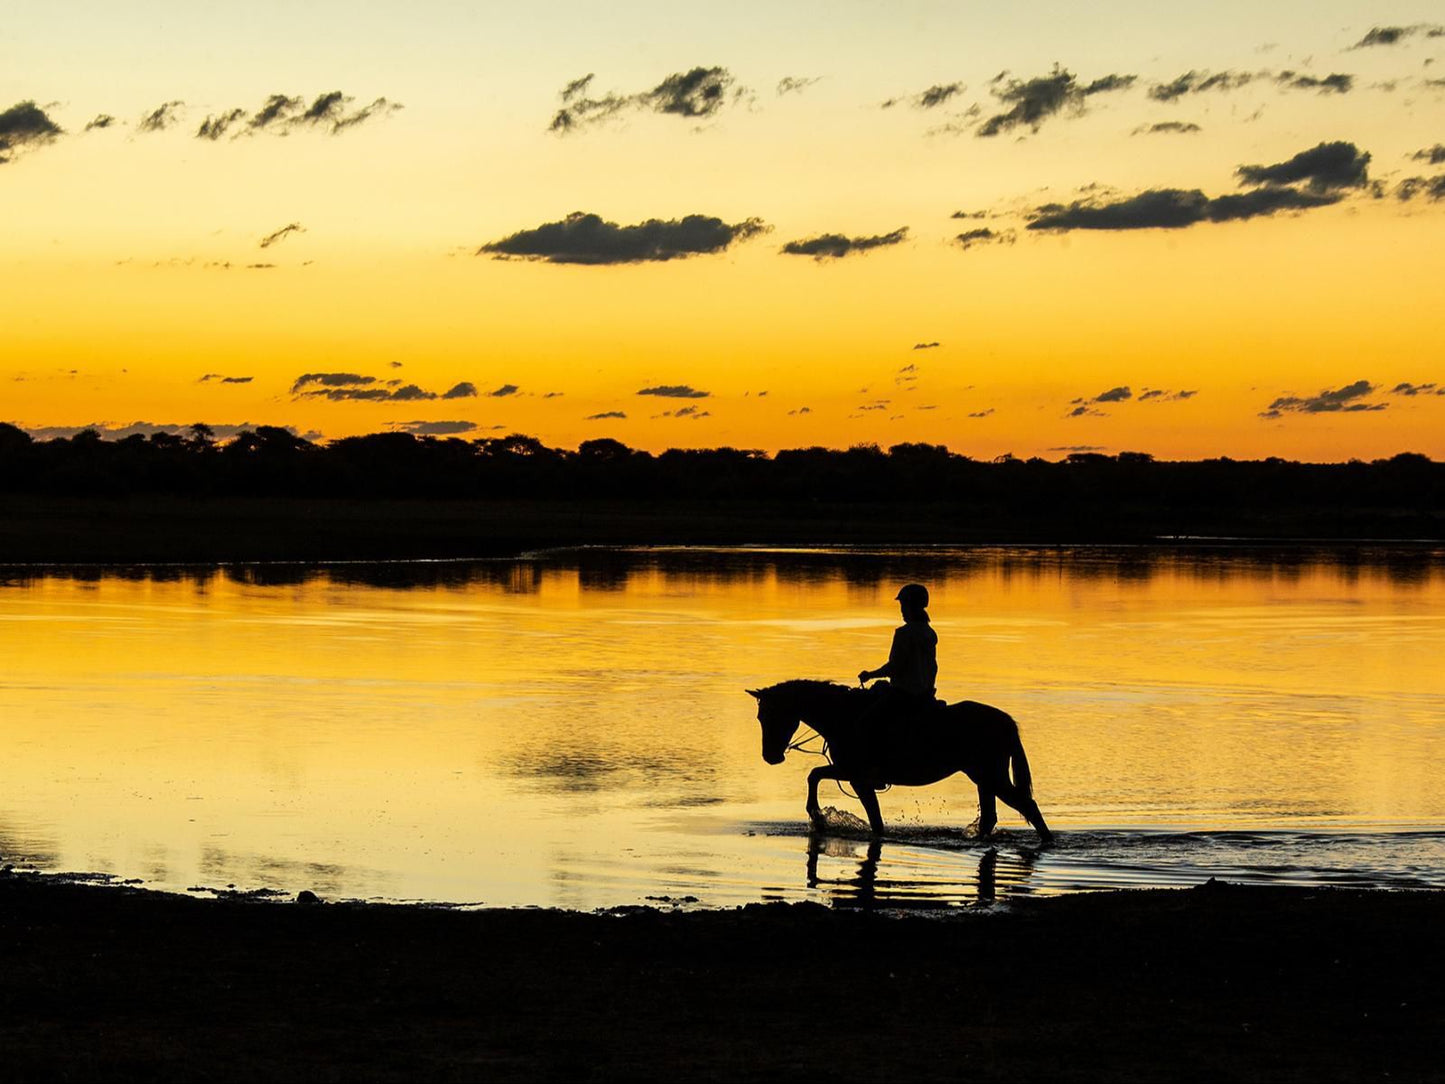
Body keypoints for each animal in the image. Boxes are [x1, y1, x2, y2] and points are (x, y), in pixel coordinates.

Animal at [745, 679, 1051, 849]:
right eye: (760, 717)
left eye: (770, 715)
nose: (770, 756)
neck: (844, 716)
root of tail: (1005, 721)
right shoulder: (854, 776)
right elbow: (822, 779)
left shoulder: (855, 775)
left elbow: (816, 776)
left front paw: (817, 816)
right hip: (982, 777)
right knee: (991, 816)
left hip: (990, 776)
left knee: (1028, 805)